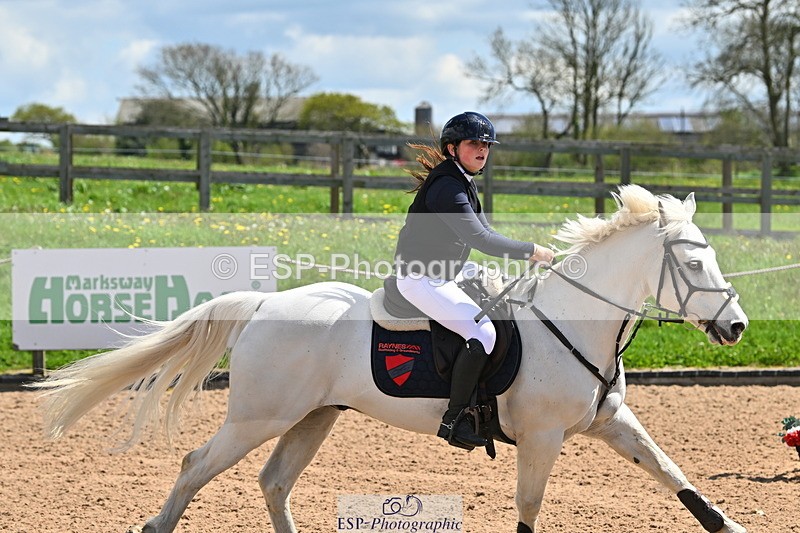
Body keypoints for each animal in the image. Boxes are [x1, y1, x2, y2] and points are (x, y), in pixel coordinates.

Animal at [33, 185, 749, 532]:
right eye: (691, 264)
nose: (738, 327)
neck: (573, 320)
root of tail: (264, 303)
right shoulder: (543, 438)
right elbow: (528, 510)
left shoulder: (613, 424)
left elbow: (674, 475)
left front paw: (731, 525)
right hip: (258, 417)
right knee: (196, 466)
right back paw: (157, 525)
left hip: (313, 416)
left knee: (274, 482)